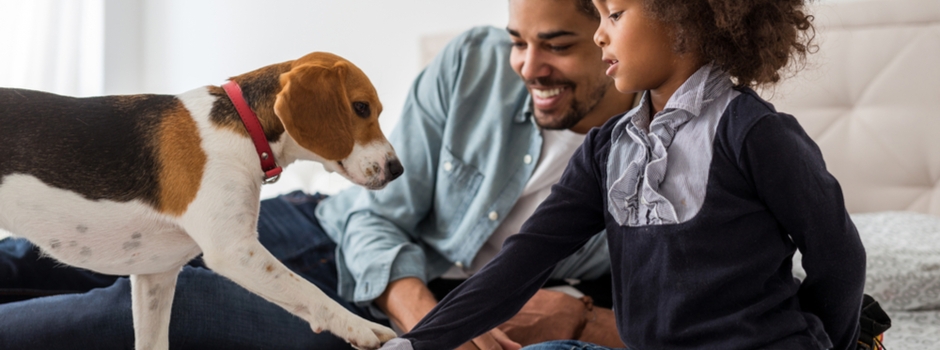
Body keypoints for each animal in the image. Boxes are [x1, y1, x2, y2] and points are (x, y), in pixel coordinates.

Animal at [0, 52, 400, 350]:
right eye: (361, 108)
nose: (398, 169)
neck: (245, 124)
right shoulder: (235, 251)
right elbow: (309, 289)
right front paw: (360, 326)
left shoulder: (155, 277)